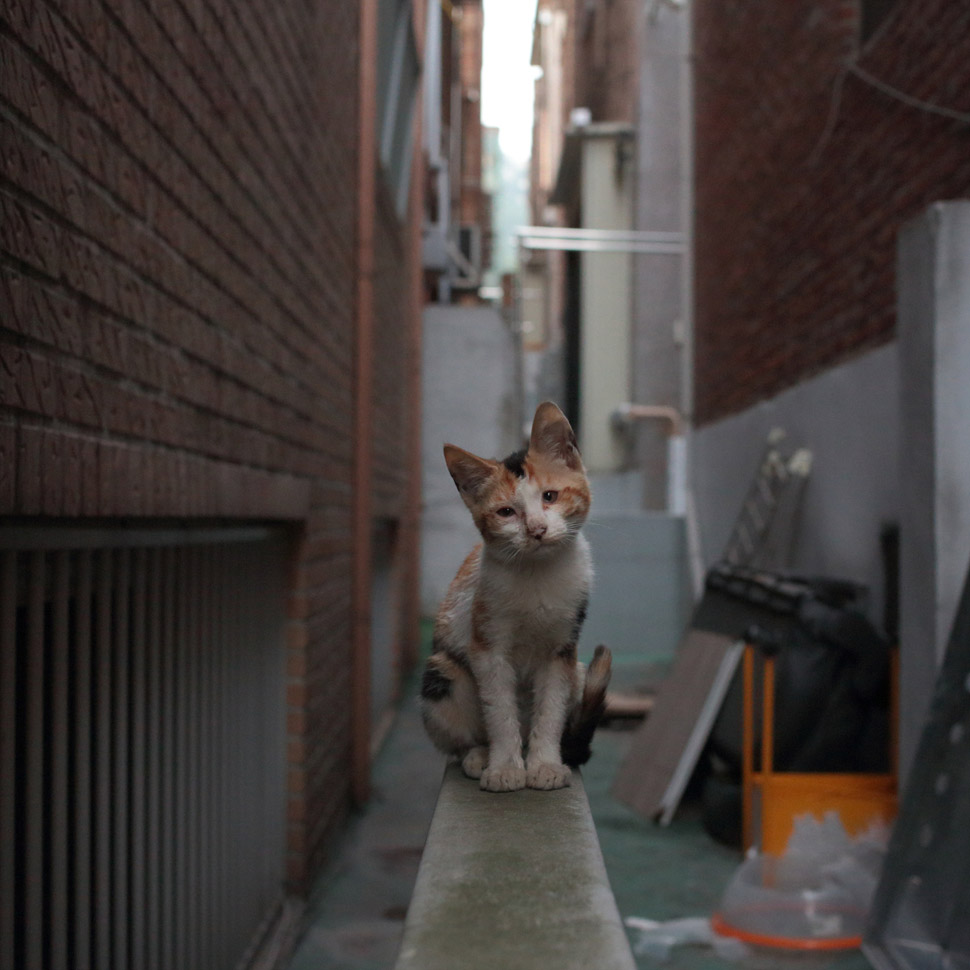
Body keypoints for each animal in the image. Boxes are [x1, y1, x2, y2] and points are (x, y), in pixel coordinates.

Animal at [420, 398, 608, 788]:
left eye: (550, 496)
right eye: (506, 512)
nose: (536, 529)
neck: (537, 573)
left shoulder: (562, 648)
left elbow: (550, 710)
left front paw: (545, 765)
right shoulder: (487, 645)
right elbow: (499, 711)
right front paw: (505, 768)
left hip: (580, 670)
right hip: (441, 673)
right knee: (461, 733)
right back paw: (479, 756)